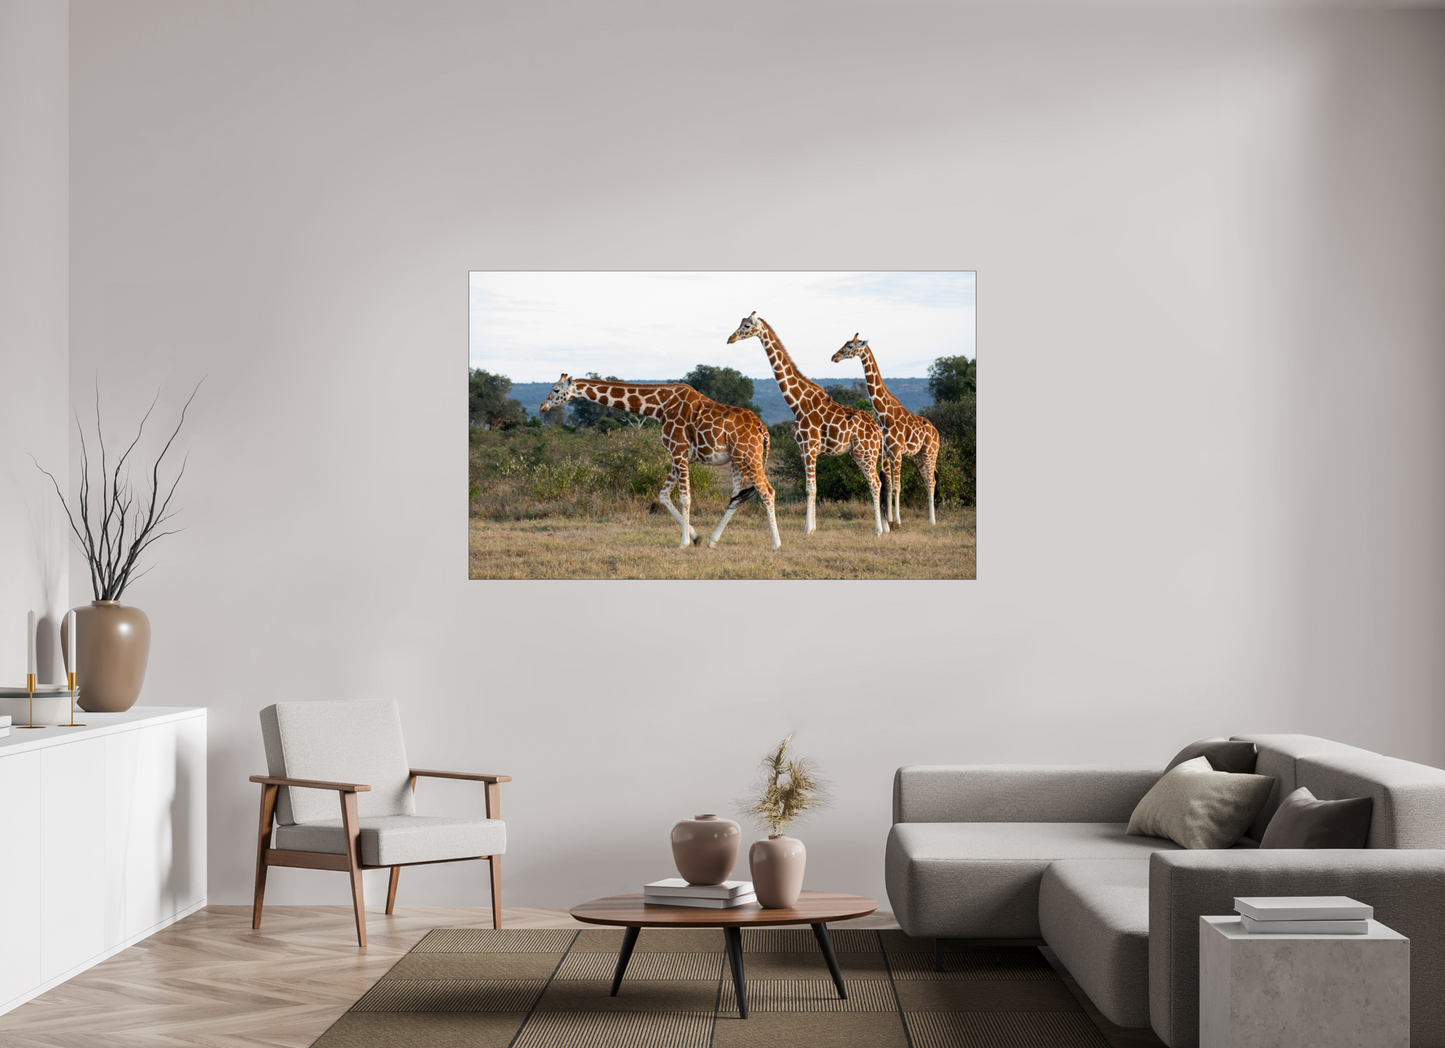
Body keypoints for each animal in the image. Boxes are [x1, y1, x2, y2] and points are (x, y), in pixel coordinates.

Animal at [540, 375, 781, 549]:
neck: (659, 406)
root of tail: (762, 428)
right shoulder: (678, 455)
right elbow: (663, 495)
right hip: (737, 460)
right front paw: (696, 538)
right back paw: (713, 541)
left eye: (556, 390)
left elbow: (685, 497)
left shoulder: (679, 451)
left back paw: (776, 543)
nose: (543, 406)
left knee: (767, 491)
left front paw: (683, 543)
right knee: (737, 496)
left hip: (749, 456)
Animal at [727, 313, 885, 537]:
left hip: (866, 452)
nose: (730, 338)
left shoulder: (809, 446)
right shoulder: (803, 449)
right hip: (861, 453)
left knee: (875, 483)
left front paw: (808, 529)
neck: (797, 402)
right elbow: (812, 487)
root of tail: (878, 431)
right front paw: (812, 527)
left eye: (747, 325)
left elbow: (811, 488)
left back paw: (878, 530)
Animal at [833, 334, 941, 526]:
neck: (884, 414)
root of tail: (937, 432)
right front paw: (889, 520)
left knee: (932, 481)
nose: (834, 357)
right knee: (927, 480)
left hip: (930, 452)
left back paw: (932, 520)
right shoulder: (885, 452)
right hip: (918, 456)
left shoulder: (897, 452)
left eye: (851, 346)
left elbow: (897, 486)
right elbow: (888, 485)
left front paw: (897, 521)